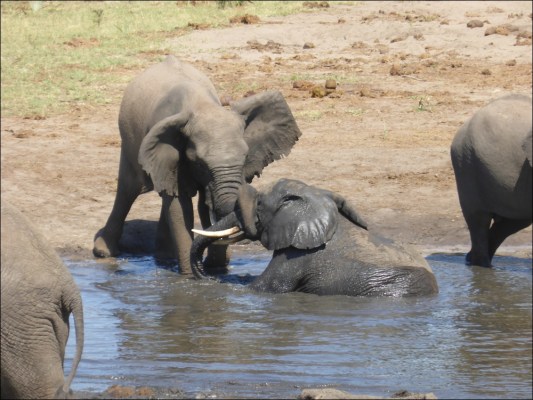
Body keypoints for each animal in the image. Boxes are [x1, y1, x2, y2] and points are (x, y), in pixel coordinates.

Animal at [93, 55, 302, 275]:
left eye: (245, 157)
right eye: (200, 163)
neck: (202, 106)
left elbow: (198, 203)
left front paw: (215, 268)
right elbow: (179, 207)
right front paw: (191, 276)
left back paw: (165, 256)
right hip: (129, 139)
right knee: (129, 188)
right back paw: (104, 252)